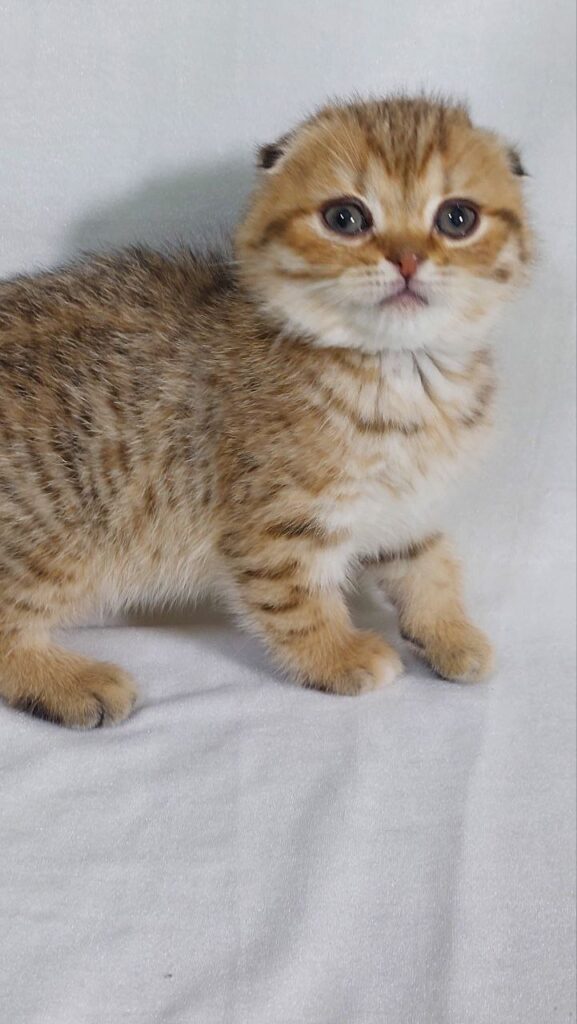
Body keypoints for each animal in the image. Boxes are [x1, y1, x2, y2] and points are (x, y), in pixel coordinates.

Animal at [0, 96, 532, 729]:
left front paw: (450, 631)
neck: (402, 375)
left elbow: (429, 565)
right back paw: (72, 681)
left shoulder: (410, 504)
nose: (407, 259)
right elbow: (295, 599)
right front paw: (338, 654)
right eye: (346, 218)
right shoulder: (276, 524)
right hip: (60, 534)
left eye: (457, 218)